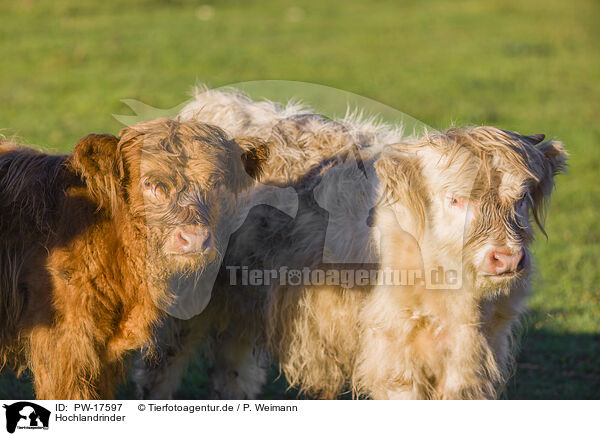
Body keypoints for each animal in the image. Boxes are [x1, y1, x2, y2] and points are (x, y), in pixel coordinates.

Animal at [132, 87, 568, 398]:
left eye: (521, 198)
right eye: (456, 199)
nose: (505, 258)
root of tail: (207, 104)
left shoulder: (469, 364)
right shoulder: (395, 362)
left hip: (241, 304)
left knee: (232, 371)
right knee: (161, 370)